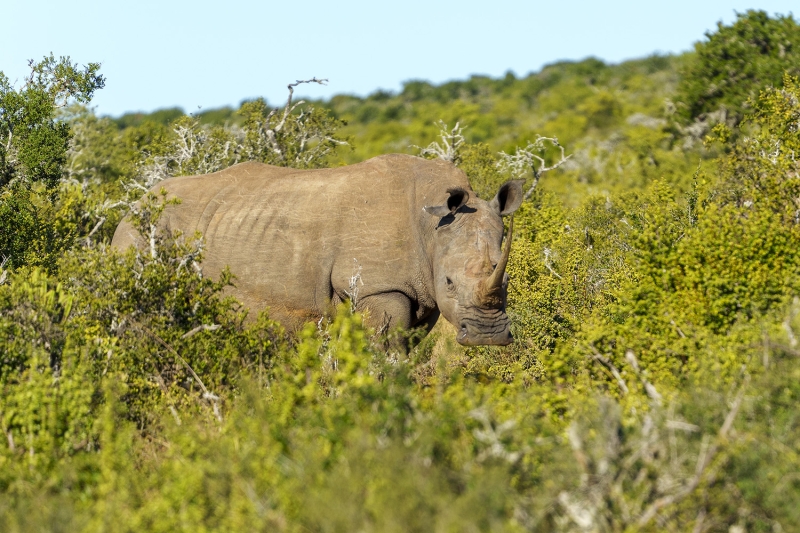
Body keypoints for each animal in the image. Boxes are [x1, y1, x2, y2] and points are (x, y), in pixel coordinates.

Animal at [111, 154, 524, 346]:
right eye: (450, 282)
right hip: (140, 233)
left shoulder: (422, 292)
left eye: (505, 283)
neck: (431, 225)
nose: (489, 337)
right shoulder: (377, 287)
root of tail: (133, 204)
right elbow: (386, 350)